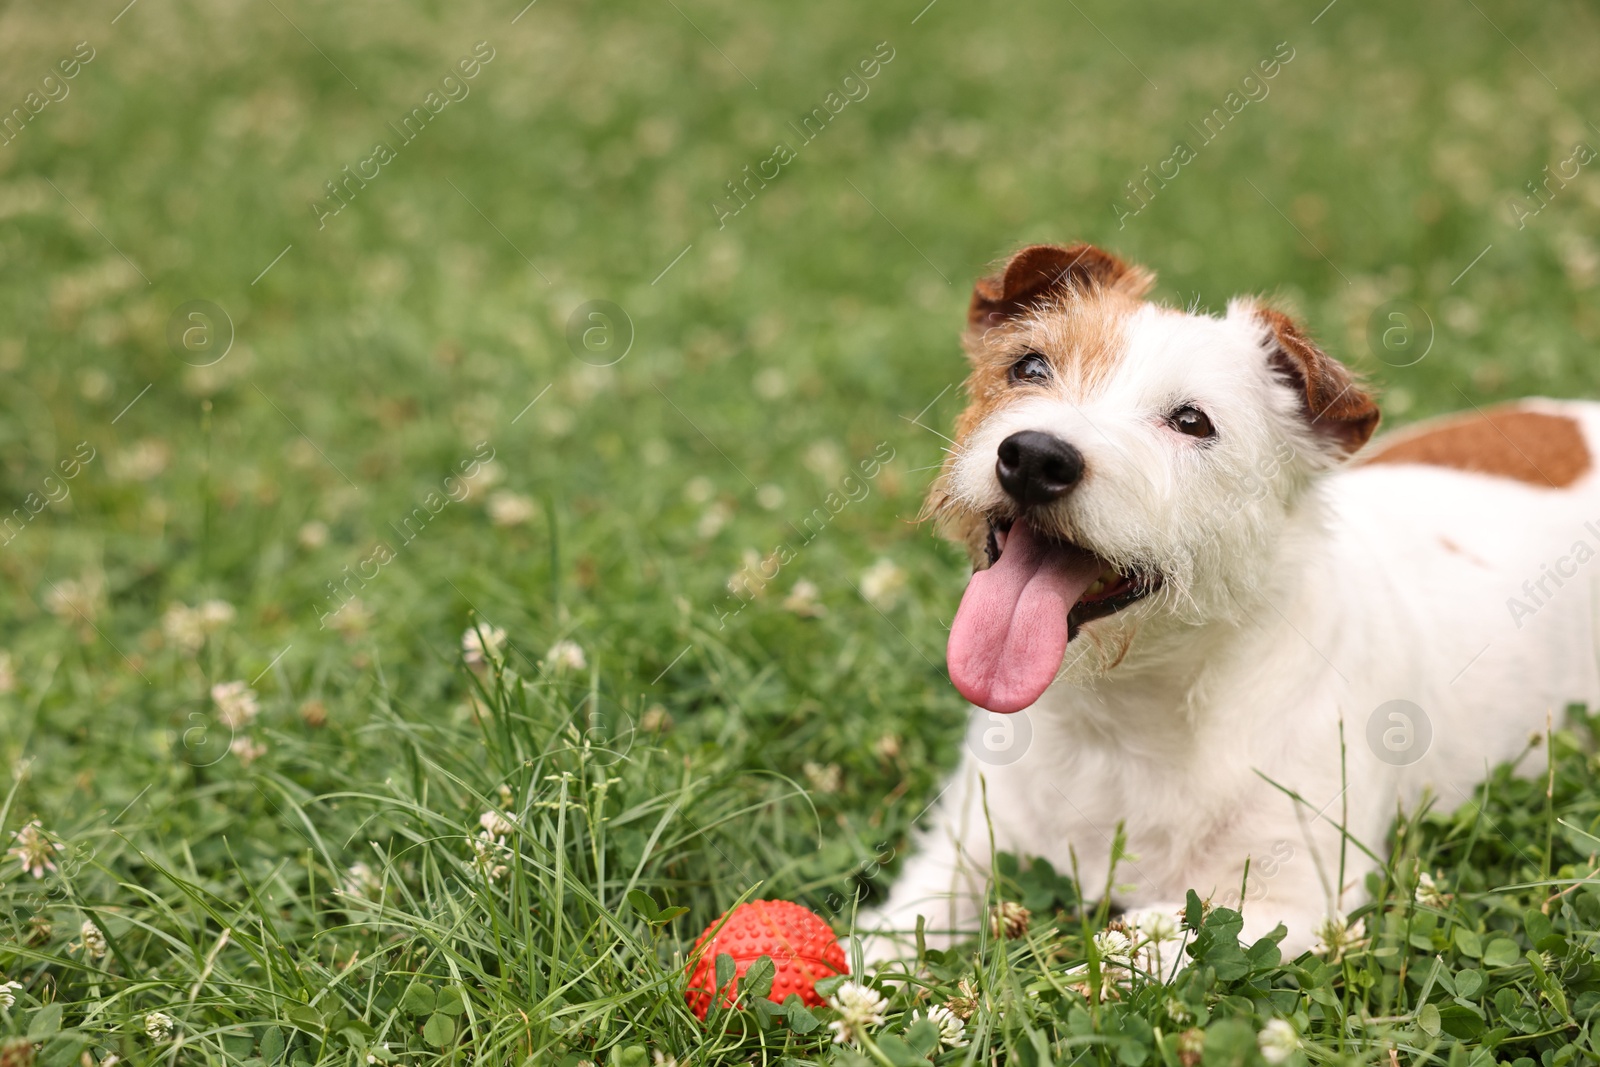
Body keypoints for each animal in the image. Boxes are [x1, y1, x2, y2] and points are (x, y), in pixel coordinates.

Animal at [864, 246, 1600, 966]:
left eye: (1192, 421)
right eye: (1029, 366)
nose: (1036, 457)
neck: (1129, 713)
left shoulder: (1290, 904)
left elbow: (1127, 958)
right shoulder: (960, 850)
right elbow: (889, 938)